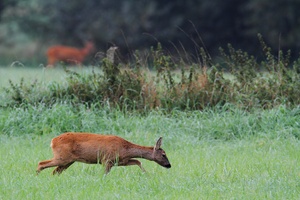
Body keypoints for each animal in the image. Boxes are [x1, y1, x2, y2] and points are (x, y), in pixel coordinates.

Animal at [36, 133, 171, 175]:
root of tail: (53, 141)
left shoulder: (120, 161)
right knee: (41, 163)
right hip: (62, 157)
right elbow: (105, 174)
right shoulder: (107, 159)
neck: (125, 148)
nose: (169, 165)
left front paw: (146, 174)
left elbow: (138, 161)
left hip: (68, 161)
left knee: (55, 172)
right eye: (164, 154)